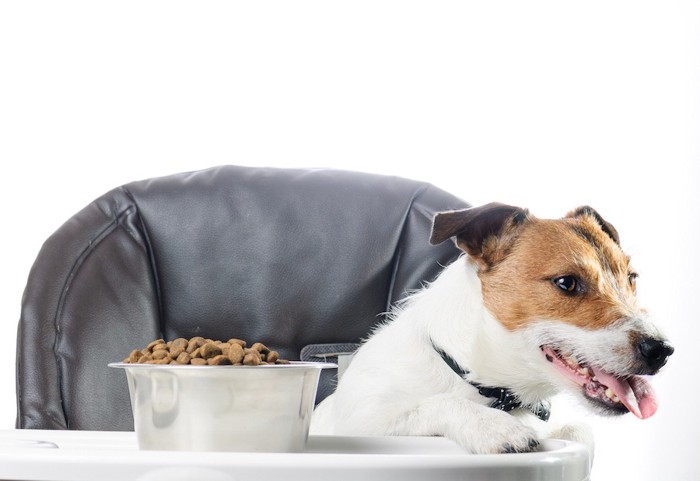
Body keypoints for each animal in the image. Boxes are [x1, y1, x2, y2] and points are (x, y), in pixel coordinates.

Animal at [312, 202, 672, 454]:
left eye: (632, 279)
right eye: (567, 282)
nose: (662, 350)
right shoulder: (360, 422)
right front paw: (495, 428)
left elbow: (580, 431)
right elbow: (430, 405)